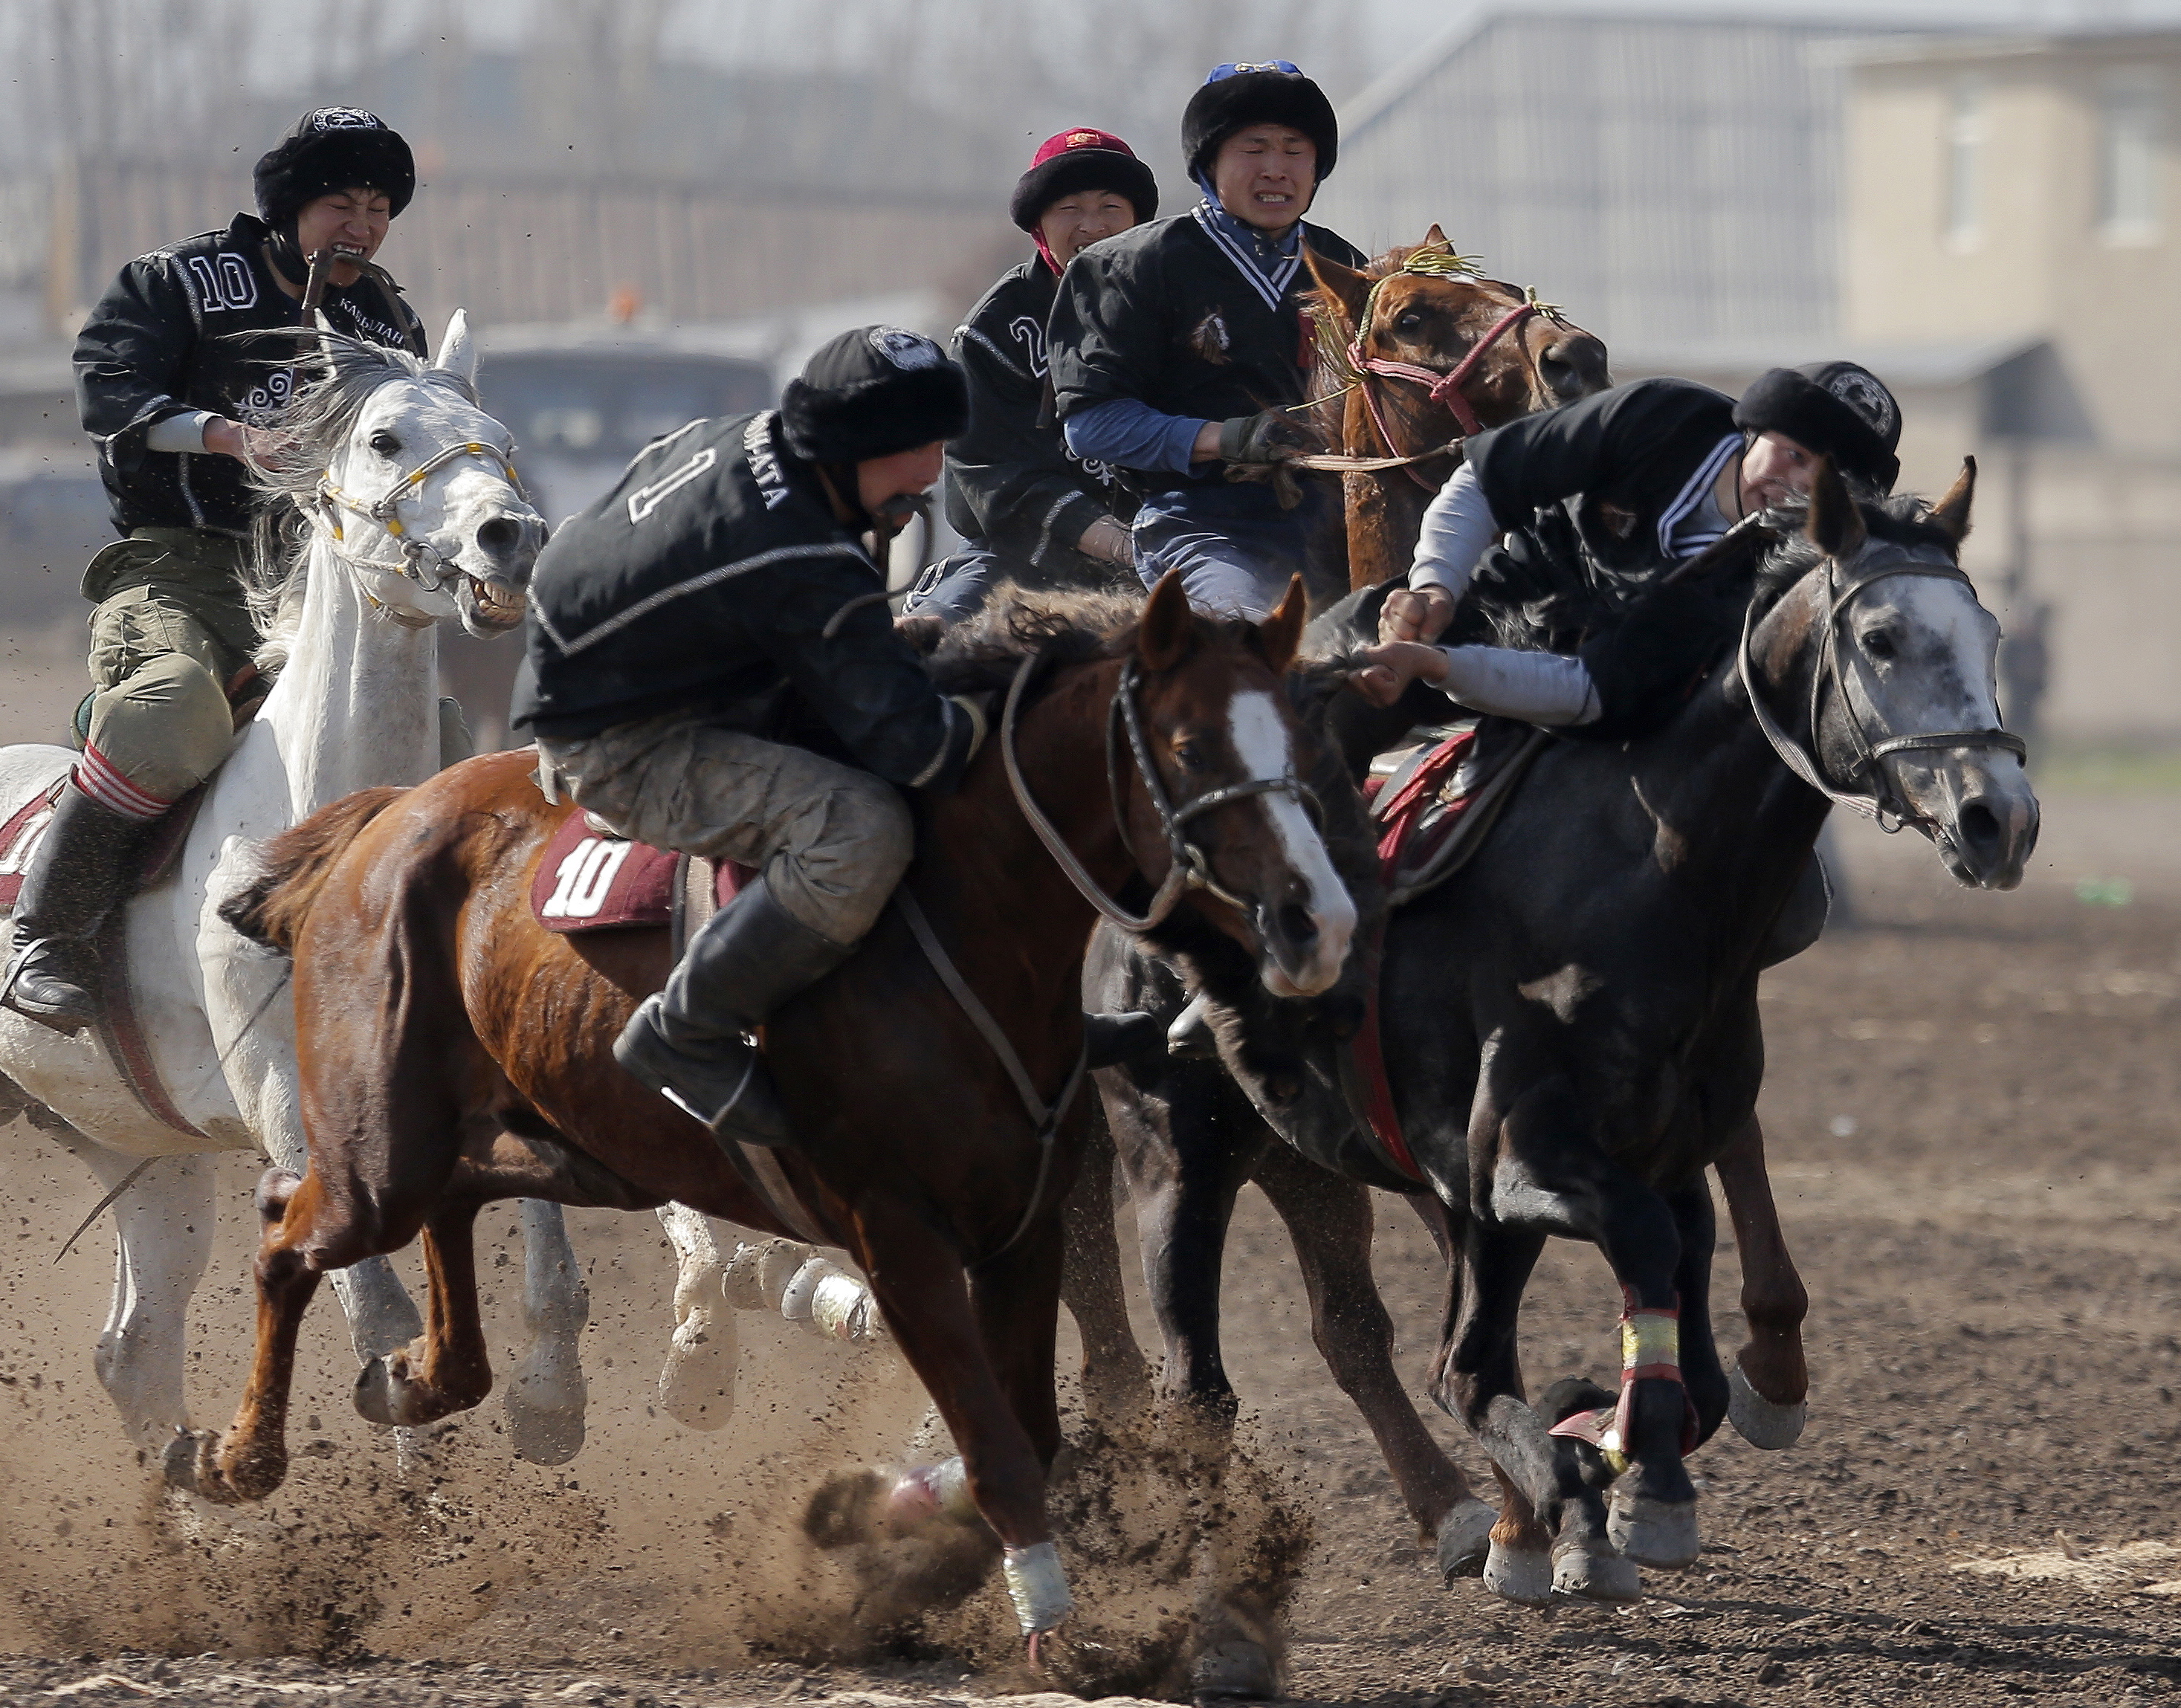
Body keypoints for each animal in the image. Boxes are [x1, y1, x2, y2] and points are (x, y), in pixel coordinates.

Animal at [0, 316, 597, 1457]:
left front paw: (549, 1394)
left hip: (141, 1152)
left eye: (500, 441)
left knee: (134, 1349)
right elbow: (383, 1316)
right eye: (383, 436)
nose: (512, 534)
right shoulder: (281, 1092)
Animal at [169, 575, 1352, 1657]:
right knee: (286, 1232)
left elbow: (1031, 1434)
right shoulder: (900, 1238)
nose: (1318, 919)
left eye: (1304, 734)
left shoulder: (1021, 1229)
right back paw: (234, 1457)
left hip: (564, 1147)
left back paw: (413, 1376)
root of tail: (390, 813)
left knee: (439, 1218)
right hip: (382, 1155)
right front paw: (1049, 1633)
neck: (957, 924)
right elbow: (1003, 1450)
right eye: (1190, 745)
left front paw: (874, 1533)